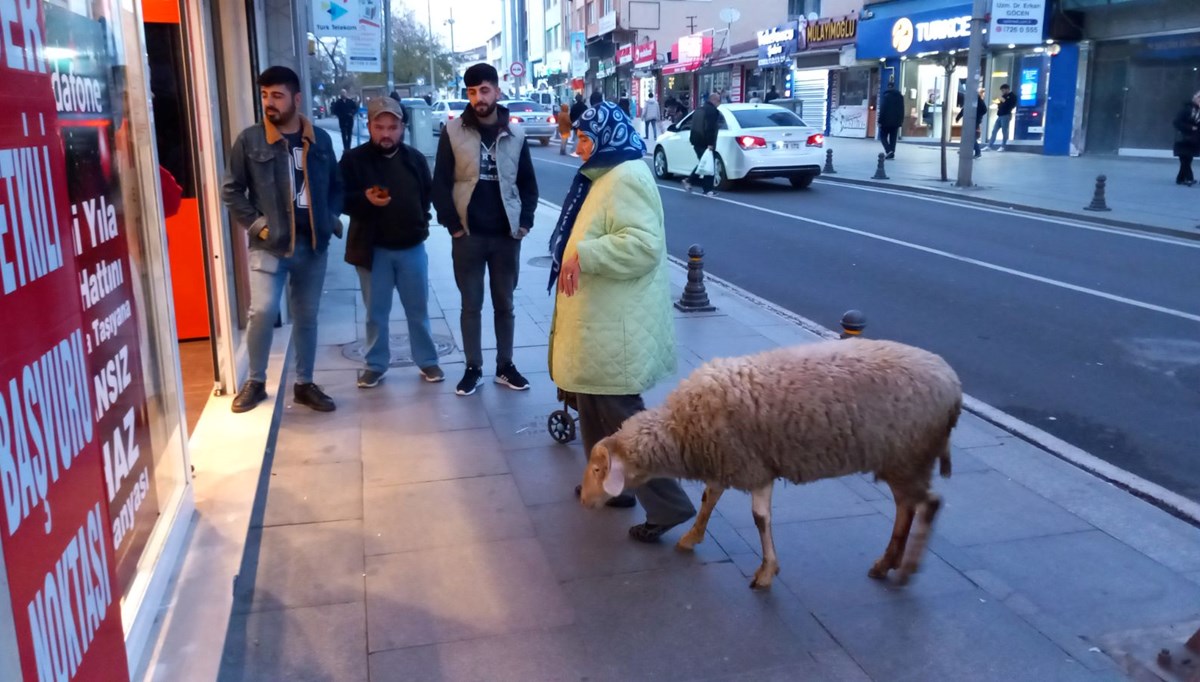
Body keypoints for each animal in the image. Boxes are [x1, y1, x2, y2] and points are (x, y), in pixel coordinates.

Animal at [576, 338, 960, 588]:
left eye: (598, 469)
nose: (582, 499)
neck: (681, 430)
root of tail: (953, 384)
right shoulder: (728, 459)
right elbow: (709, 498)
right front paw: (692, 536)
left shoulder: (754, 467)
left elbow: (760, 519)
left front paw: (765, 572)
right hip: (901, 459)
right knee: (907, 507)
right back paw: (887, 563)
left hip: (911, 454)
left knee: (928, 505)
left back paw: (906, 568)